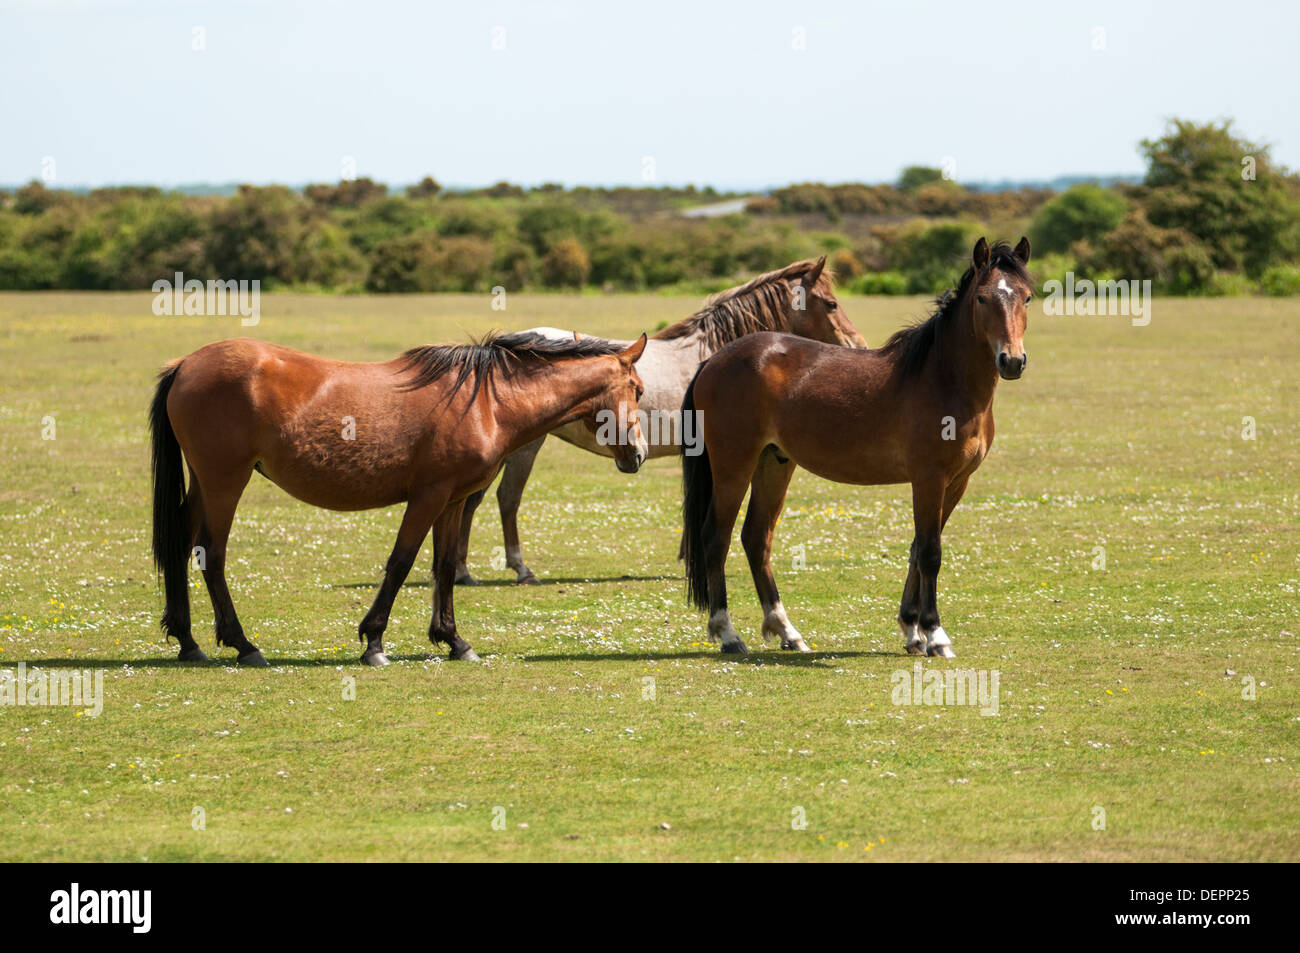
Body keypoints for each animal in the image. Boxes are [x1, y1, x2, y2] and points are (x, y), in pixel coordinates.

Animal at [150, 330, 650, 665]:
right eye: (640, 390)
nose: (639, 455)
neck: (486, 402)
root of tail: (186, 364)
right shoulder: (428, 497)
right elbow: (401, 562)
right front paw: (374, 642)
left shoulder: (453, 500)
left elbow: (445, 567)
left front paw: (453, 641)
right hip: (224, 482)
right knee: (212, 554)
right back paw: (243, 645)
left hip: (204, 483)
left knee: (181, 546)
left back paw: (189, 642)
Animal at [452, 260, 868, 587]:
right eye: (832, 303)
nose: (859, 345)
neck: (712, 356)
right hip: (525, 445)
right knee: (504, 498)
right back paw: (517, 569)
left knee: (472, 502)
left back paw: (462, 571)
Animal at [681, 237, 1034, 657]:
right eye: (982, 298)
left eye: (1027, 297)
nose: (1012, 360)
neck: (944, 379)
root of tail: (713, 360)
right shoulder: (929, 479)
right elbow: (930, 553)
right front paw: (935, 635)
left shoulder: (956, 483)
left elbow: (917, 548)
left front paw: (912, 629)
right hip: (734, 467)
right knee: (715, 538)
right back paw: (729, 634)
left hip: (774, 464)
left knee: (756, 538)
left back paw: (787, 631)